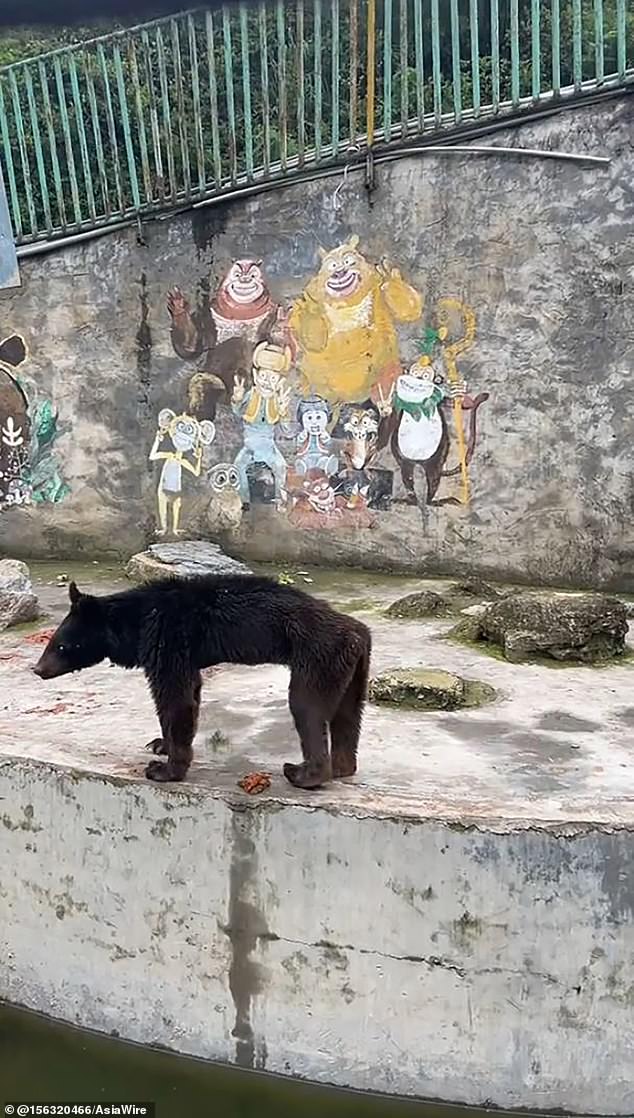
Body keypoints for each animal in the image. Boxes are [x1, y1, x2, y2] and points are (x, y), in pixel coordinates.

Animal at [32, 576, 371, 787]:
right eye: (52, 642)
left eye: (60, 645)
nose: (38, 669)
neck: (135, 623)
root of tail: (358, 632)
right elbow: (189, 694)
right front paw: (159, 744)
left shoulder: (167, 639)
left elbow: (175, 698)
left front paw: (164, 769)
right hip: (352, 671)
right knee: (347, 715)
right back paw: (343, 767)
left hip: (318, 657)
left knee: (306, 708)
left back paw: (303, 774)